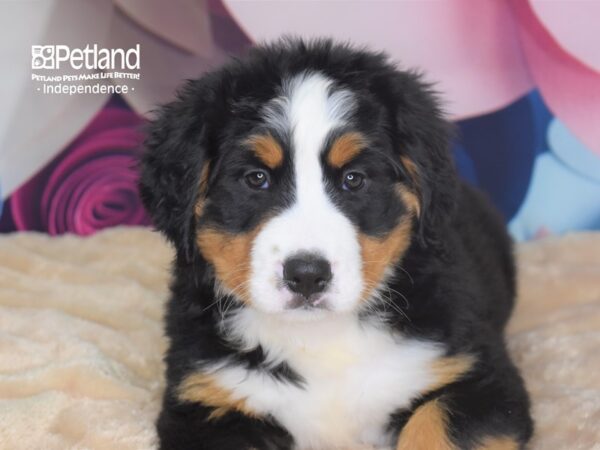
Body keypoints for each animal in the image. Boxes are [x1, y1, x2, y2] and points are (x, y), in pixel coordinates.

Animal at [141, 38, 536, 450]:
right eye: (256, 178)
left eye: (354, 179)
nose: (306, 275)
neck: (321, 338)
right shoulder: (205, 399)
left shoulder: (480, 379)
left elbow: (433, 426)